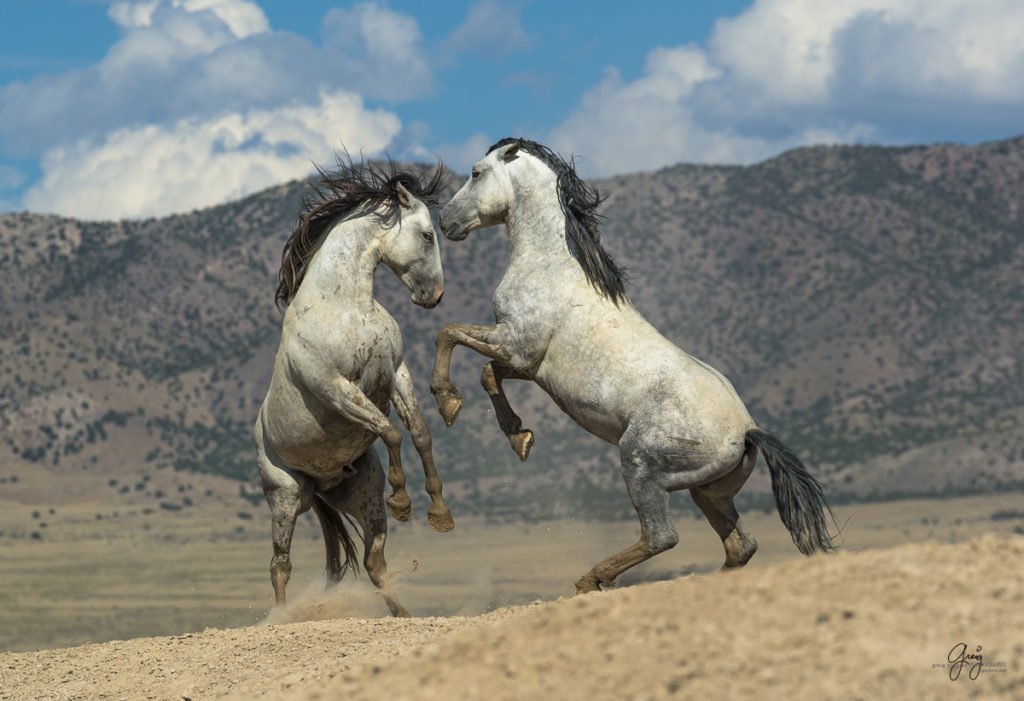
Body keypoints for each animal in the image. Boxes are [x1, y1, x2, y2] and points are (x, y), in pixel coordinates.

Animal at [254, 157, 452, 614]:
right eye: (427, 234)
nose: (435, 295)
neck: (345, 306)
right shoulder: (334, 388)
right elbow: (390, 430)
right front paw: (403, 501)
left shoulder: (396, 371)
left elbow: (420, 433)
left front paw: (439, 513)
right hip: (285, 498)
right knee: (279, 566)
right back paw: (281, 618)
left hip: (359, 496)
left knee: (373, 561)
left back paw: (402, 614)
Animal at [428, 135, 835, 589]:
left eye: (476, 173)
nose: (445, 221)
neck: (551, 266)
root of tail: (748, 431)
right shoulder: (527, 364)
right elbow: (487, 374)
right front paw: (520, 437)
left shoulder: (514, 343)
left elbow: (448, 334)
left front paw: (447, 402)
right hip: (708, 492)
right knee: (739, 546)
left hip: (639, 466)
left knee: (661, 536)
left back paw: (590, 581)